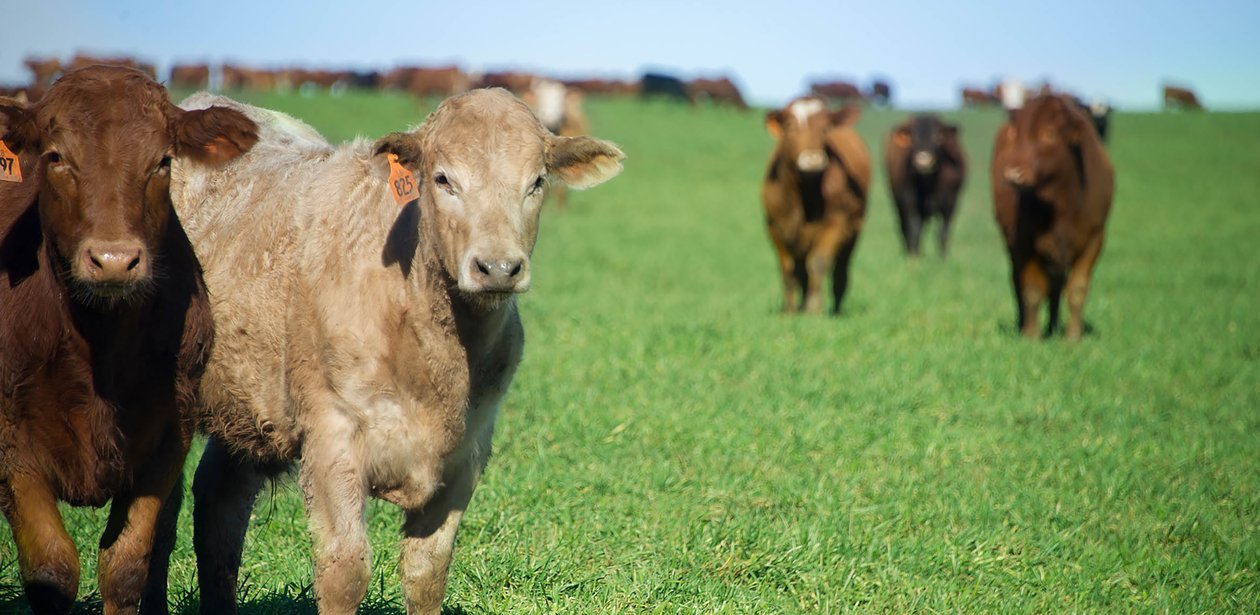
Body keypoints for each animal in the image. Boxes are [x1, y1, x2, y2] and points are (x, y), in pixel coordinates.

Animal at [0, 66, 256, 613]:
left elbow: (125, 566)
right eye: (56, 157)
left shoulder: (169, 434)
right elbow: (51, 569)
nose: (114, 261)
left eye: (162, 162)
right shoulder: (11, 442)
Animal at [165, 88, 624, 614]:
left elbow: (426, 573)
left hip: (246, 409)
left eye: (537, 181)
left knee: (219, 506)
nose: (498, 267)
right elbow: (344, 571)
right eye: (443, 179)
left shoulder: (466, 454)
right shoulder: (332, 437)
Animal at [762, 96, 869, 314]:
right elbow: (788, 269)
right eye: (790, 126)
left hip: (853, 231)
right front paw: (789, 311)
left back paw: (835, 310)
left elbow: (818, 263)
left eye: (825, 128)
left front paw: (814, 310)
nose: (812, 160)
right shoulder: (774, 226)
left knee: (840, 272)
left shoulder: (836, 224)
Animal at [884, 115, 966, 257]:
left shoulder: (951, 203)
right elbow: (914, 228)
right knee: (904, 227)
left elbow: (943, 232)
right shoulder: (909, 200)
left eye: (937, 136)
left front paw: (942, 259)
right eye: (913, 137)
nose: (923, 160)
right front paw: (914, 258)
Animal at [991, 94, 1115, 340]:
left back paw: (1054, 327)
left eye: (1049, 133)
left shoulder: (1095, 239)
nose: (1014, 173)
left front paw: (1073, 338)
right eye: (1017, 134)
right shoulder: (1024, 241)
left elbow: (1077, 289)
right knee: (1019, 281)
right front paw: (1031, 336)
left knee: (1056, 285)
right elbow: (1031, 289)